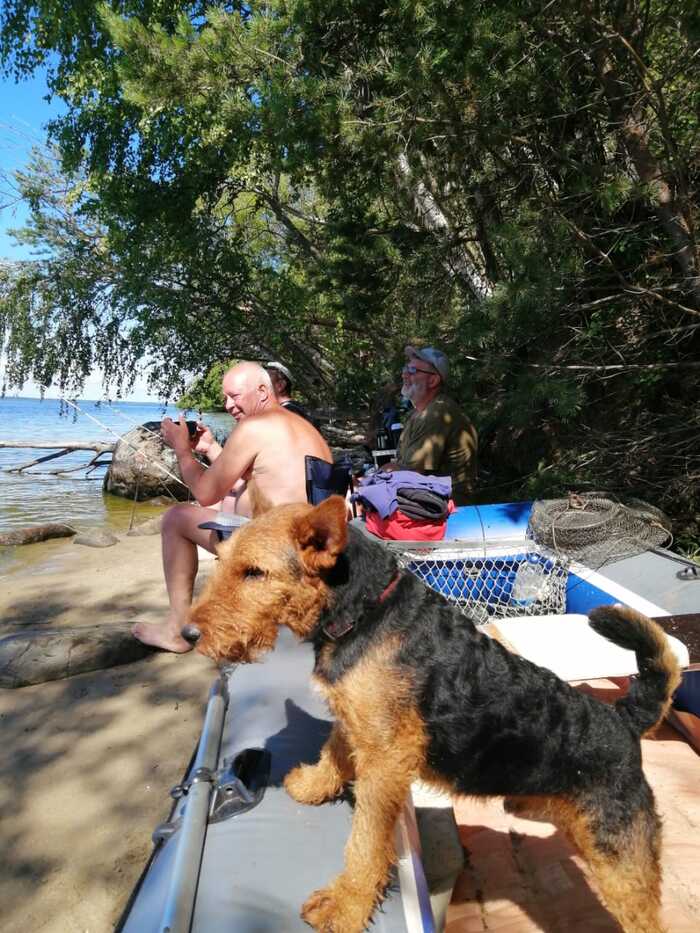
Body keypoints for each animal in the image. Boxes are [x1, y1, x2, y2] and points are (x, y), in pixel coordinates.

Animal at [183, 498, 680, 928]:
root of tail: (624, 720)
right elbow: (333, 754)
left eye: (255, 572)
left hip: (620, 864)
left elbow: (364, 844)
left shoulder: (385, 760)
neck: (366, 610)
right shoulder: (358, 722)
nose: (189, 634)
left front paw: (343, 906)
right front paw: (310, 785)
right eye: (225, 561)